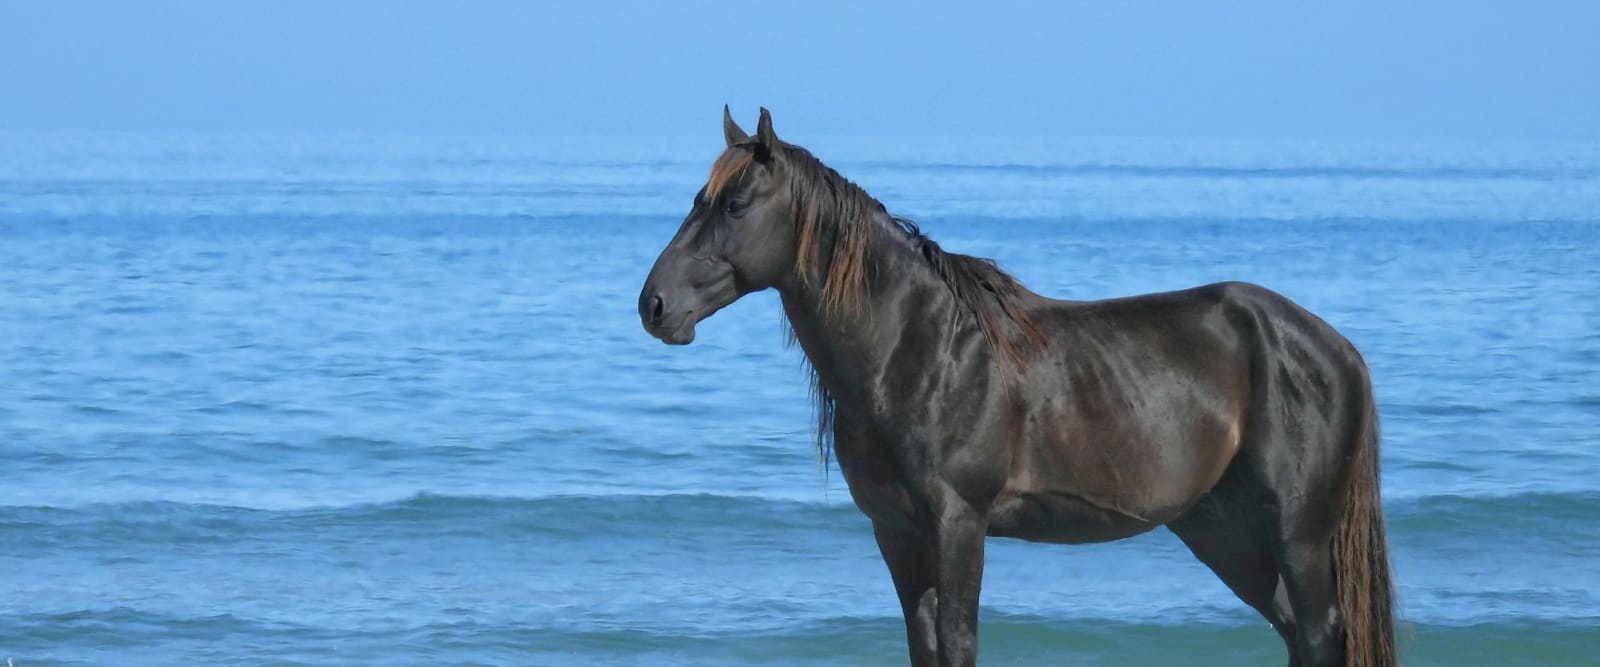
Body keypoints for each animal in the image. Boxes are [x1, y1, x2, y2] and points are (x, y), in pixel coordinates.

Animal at [638, 107, 1397, 667]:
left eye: (736, 204)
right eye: (699, 199)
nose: (654, 306)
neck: (919, 350)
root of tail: (1336, 347)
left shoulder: (959, 523)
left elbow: (959, 642)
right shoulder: (897, 533)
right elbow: (924, 645)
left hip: (1297, 530)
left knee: (1321, 633)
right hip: (1226, 531)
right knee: (1296, 632)